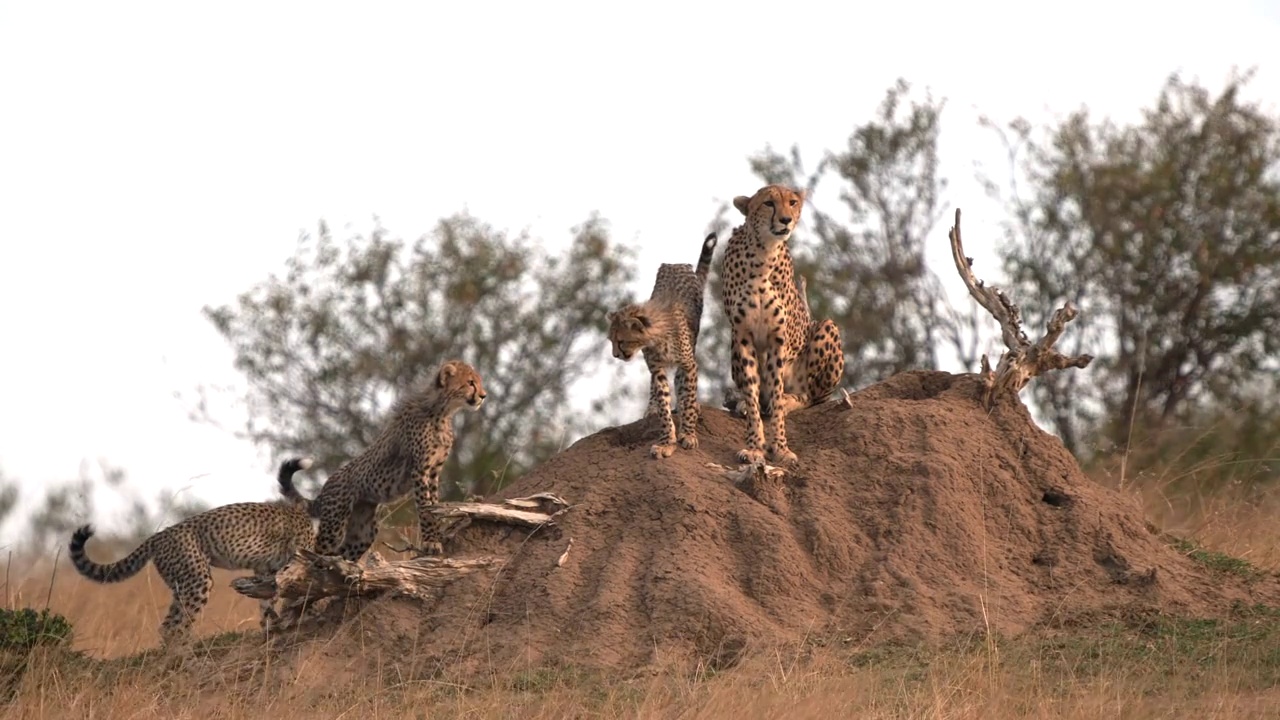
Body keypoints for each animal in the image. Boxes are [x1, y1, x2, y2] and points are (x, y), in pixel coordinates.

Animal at [70, 456, 320, 648]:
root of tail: (158, 535)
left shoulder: (267, 569)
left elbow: (268, 602)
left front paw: (271, 627)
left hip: (182, 583)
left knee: (170, 623)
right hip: (197, 579)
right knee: (174, 626)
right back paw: (184, 652)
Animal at [308, 358, 483, 561]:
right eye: (470, 382)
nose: (483, 396)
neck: (442, 412)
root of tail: (327, 483)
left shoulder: (433, 472)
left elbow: (434, 505)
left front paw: (436, 537)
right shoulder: (420, 471)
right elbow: (424, 508)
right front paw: (431, 543)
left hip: (364, 531)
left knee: (342, 553)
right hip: (334, 524)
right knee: (318, 549)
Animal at [604, 230, 716, 453]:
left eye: (621, 341)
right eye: (611, 340)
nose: (615, 355)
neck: (656, 338)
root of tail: (675, 264)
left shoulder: (689, 364)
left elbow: (688, 395)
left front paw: (688, 433)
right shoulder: (657, 370)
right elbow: (663, 403)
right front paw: (666, 441)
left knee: (682, 382)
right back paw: (652, 408)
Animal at [716, 184, 844, 461]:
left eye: (792, 202)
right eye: (768, 203)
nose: (786, 220)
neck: (762, 254)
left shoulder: (778, 340)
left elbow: (775, 394)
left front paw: (781, 448)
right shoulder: (742, 335)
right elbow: (753, 394)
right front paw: (755, 446)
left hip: (826, 327)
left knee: (811, 396)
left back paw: (789, 400)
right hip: (732, 345)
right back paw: (740, 402)